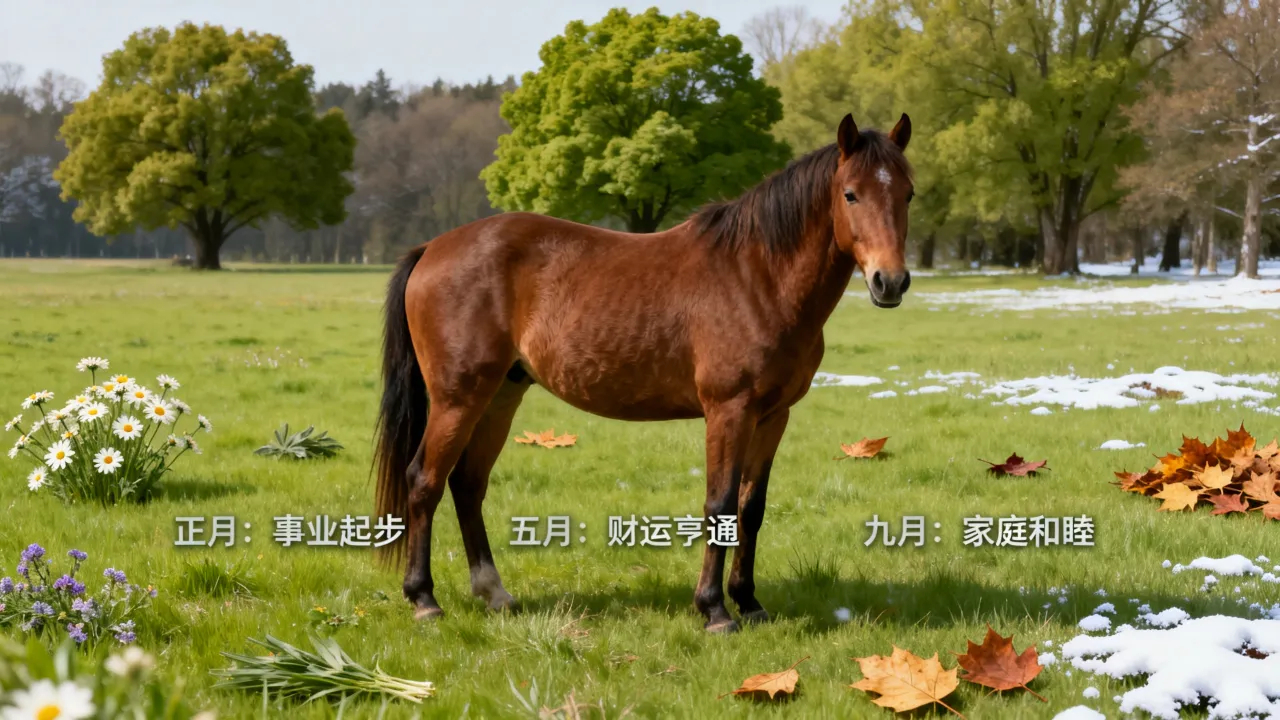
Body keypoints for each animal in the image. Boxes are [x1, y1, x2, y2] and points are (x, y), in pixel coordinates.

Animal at [375, 113, 914, 633]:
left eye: (907, 192)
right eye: (851, 193)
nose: (890, 282)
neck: (757, 276)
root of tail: (432, 248)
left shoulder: (773, 416)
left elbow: (750, 507)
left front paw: (749, 602)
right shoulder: (729, 411)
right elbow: (719, 505)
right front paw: (715, 610)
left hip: (500, 396)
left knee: (467, 484)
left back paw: (494, 593)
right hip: (457, 399)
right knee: (424, 480)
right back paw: (424, 600)